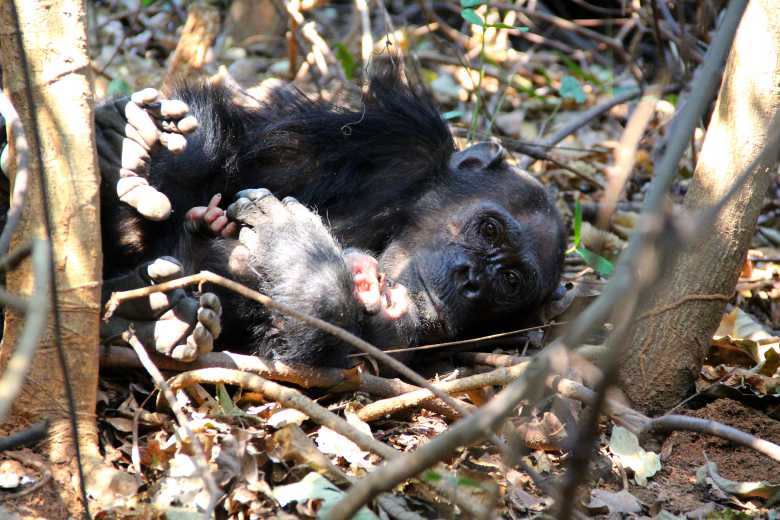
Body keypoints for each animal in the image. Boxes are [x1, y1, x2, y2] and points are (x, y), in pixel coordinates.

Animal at [0, 61, 564, 368]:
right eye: (488, 229)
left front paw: (299, 251)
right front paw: (142, 146)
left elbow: (336, 347)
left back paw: (156, 318)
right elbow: (232, 159)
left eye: (510, 282)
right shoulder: (392, 140)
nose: (472, 278)